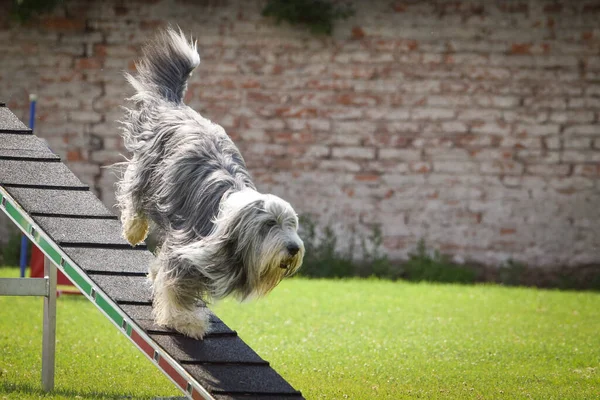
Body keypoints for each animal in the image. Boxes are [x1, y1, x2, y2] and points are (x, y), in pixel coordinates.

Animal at [116, 28, 304, 340]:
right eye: (269, 225)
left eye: (292, 225)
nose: (293, 248)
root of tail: (176, 105)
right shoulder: (187, 249)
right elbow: (173, 283)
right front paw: (185, 320)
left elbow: (162, 271)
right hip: (148, 168)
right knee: (133, 190)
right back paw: (133, 229)